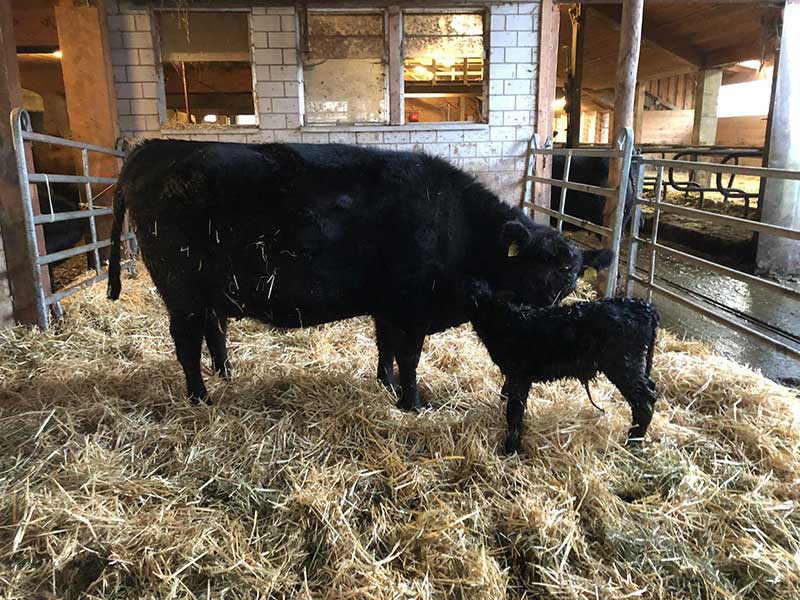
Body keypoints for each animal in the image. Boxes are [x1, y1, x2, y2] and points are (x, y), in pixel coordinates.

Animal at [107, 140, 613, 409]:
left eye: (566, 288)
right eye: (528, 277)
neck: (456, 222)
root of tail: (151, 147)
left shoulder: (389, 304)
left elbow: (386, 347)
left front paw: (386, 385)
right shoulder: (412, 305)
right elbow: (408, 356)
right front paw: (412, 402)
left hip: (208, 289)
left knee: (214, 330)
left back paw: (226, 375)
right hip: (182, 289)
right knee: (187, 343)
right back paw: (200, 397)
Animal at [470, 291, 659, 454]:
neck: (506, 322)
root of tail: (645, 307)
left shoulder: (520, 374)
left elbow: (514, 411)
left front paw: (511, 449)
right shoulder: (514, 373)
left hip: (623, 363)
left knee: (644, 400)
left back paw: (633, 442)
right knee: (650, 387)